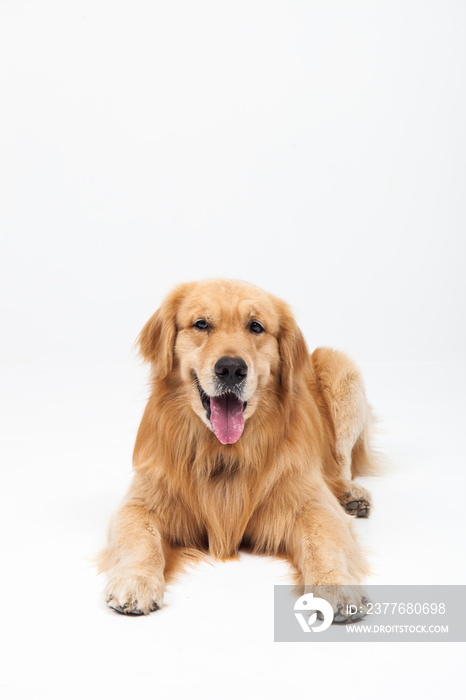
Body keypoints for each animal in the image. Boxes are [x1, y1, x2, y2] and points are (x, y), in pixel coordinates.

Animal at [99, 278, 378, 616]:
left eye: (255, 326)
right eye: (201, 324)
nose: (231, 369)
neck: (223, 453)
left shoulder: (309, 502)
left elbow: (322, 542)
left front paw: (335, 586)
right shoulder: (141, 500)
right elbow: (140, 539)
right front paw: (135, 581)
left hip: (340, 368)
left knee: (341, 463)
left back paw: (350, 494)